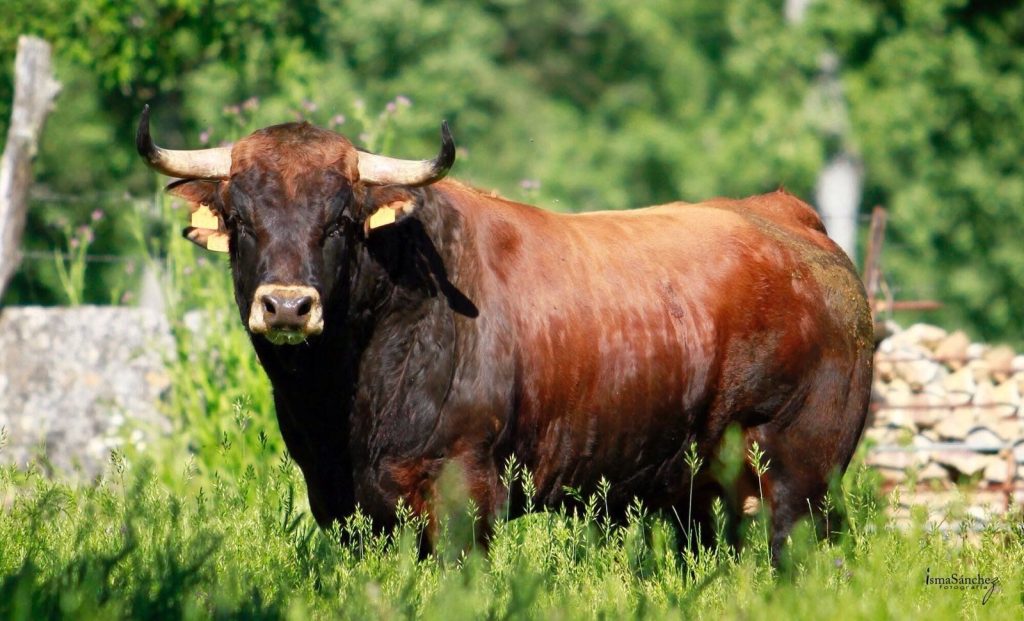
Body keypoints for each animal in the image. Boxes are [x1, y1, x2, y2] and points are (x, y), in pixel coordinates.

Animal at [136, 105, 873, 558]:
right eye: (241, 218)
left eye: (341, 219)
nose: (287, 306)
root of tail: (795, 223)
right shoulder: (343, 503)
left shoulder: (465, 492)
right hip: (703, 490)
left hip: (800, 478)